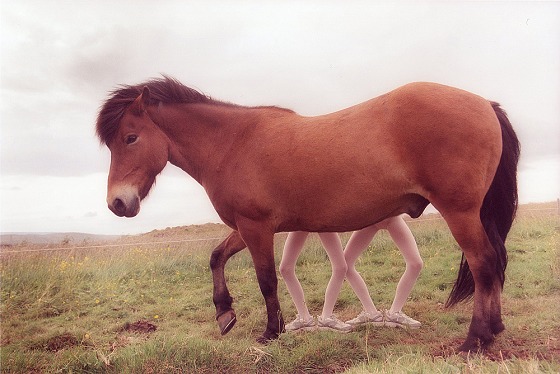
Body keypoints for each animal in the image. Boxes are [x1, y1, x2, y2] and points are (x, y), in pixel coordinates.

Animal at [96, 77, 520, 352]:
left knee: (483, 263)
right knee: (495, 261)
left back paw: (476, 339)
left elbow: (266, 280)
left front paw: (271, 332)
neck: (232, 143)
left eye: (130, 138)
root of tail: (484, 103)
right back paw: (495, 327)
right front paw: (224, 313)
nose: (118, 204)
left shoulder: (256, 227)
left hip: (460, 212)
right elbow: (217, 257)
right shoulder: (246, 227)